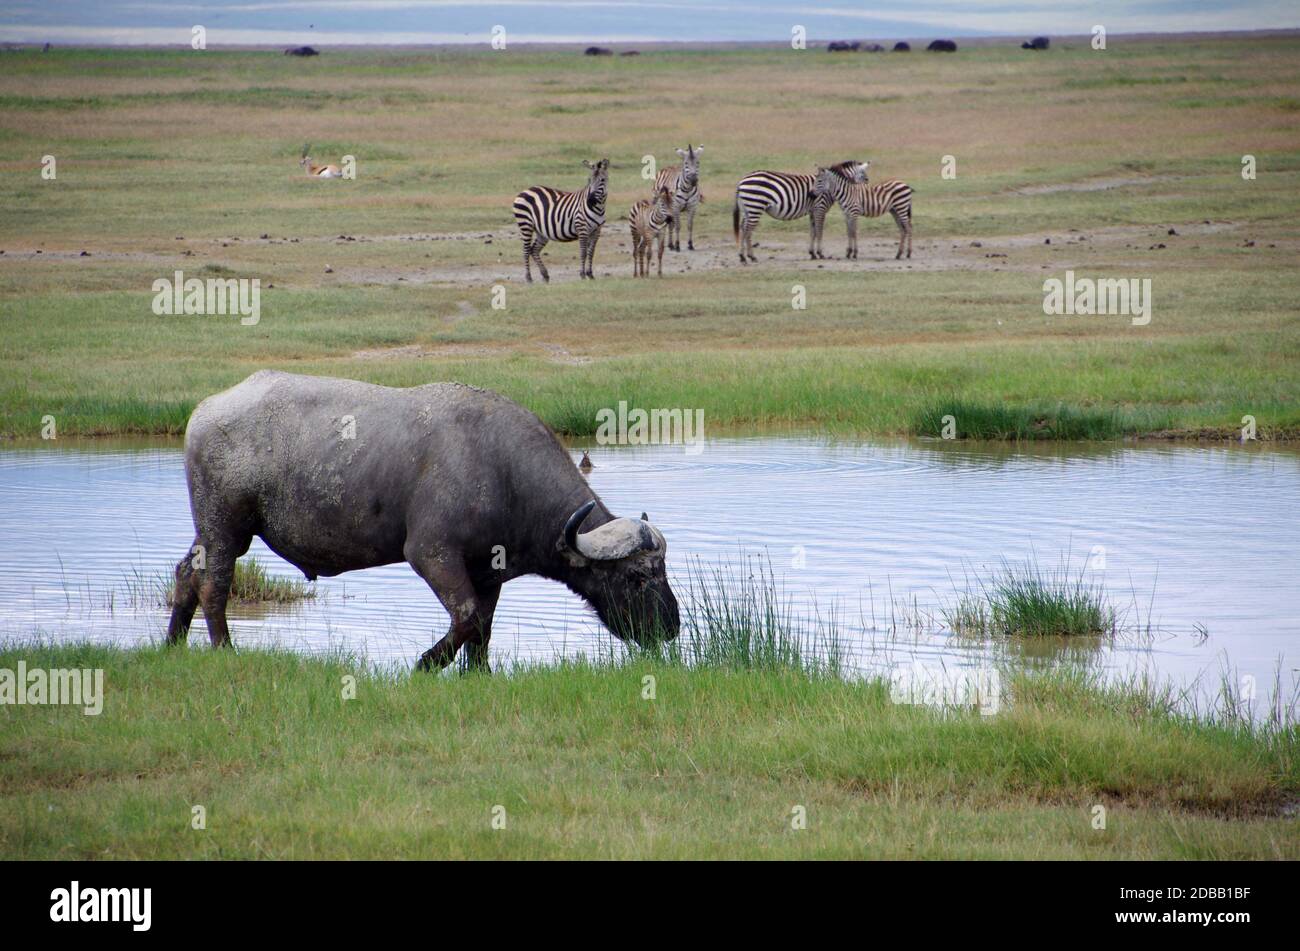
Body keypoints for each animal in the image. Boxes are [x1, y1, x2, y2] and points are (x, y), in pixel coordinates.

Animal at [165, 371, 681, 670]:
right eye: (636, 578)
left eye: (663, 571)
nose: (672, 627)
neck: (503, 470)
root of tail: (204, 412)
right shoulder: (432, 554)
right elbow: (467, 617)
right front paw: (425, 664)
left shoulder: (488, 571)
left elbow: (483, 628)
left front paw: (479, 673)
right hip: (225, 528)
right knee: (215, 584)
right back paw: (224, 649)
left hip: (212, 532)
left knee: (186, 572)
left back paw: (172, 642)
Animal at [738, 159, 868, 262]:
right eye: (864, 175)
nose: (868, 183)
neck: (829, 187)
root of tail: (742, 180)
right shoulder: (820, 208)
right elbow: (819, 231)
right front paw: (820, 253)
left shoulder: (812, 211)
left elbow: (813, 232)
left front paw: (812, 254)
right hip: (755, 206)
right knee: (748, 230)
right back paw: (751, 256)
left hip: (748, 209)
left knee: (743, 228)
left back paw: (742, 256)